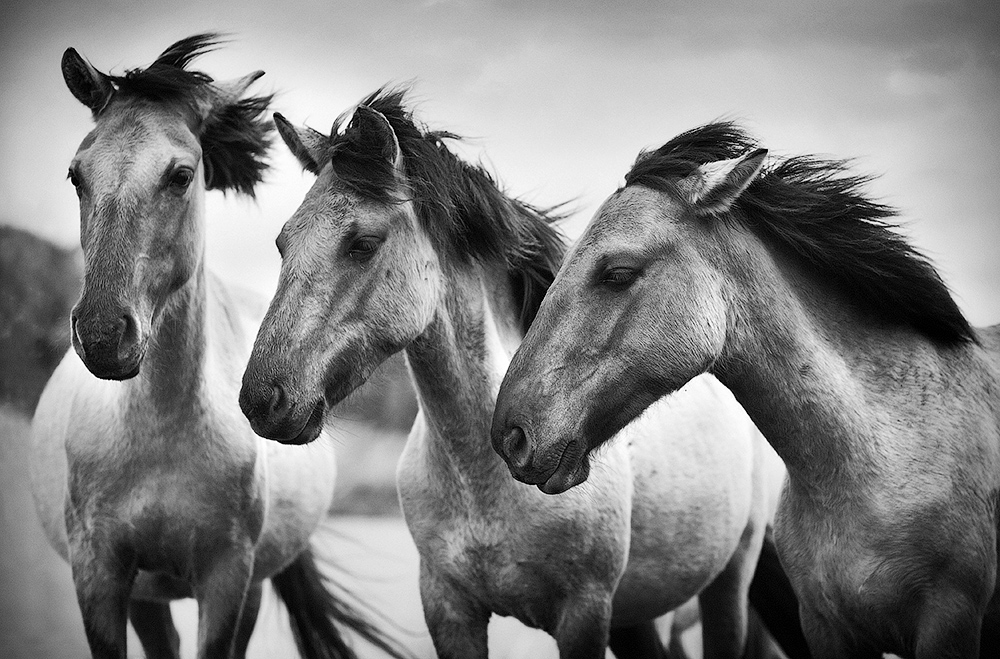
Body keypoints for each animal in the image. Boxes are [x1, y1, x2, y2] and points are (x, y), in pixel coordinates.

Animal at [29, 35, 404, 659]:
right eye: (76, 174)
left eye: (181, 175)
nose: (103, 335)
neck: (160, 431)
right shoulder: (98, 575)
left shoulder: (227, 578)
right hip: (147, 594)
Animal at [237, 88, 801, 659]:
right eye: (283, 243)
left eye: (362, 244)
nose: (262, 401)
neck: (482, 481)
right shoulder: (449, 606)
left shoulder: (583, 613)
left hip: (728, 583)